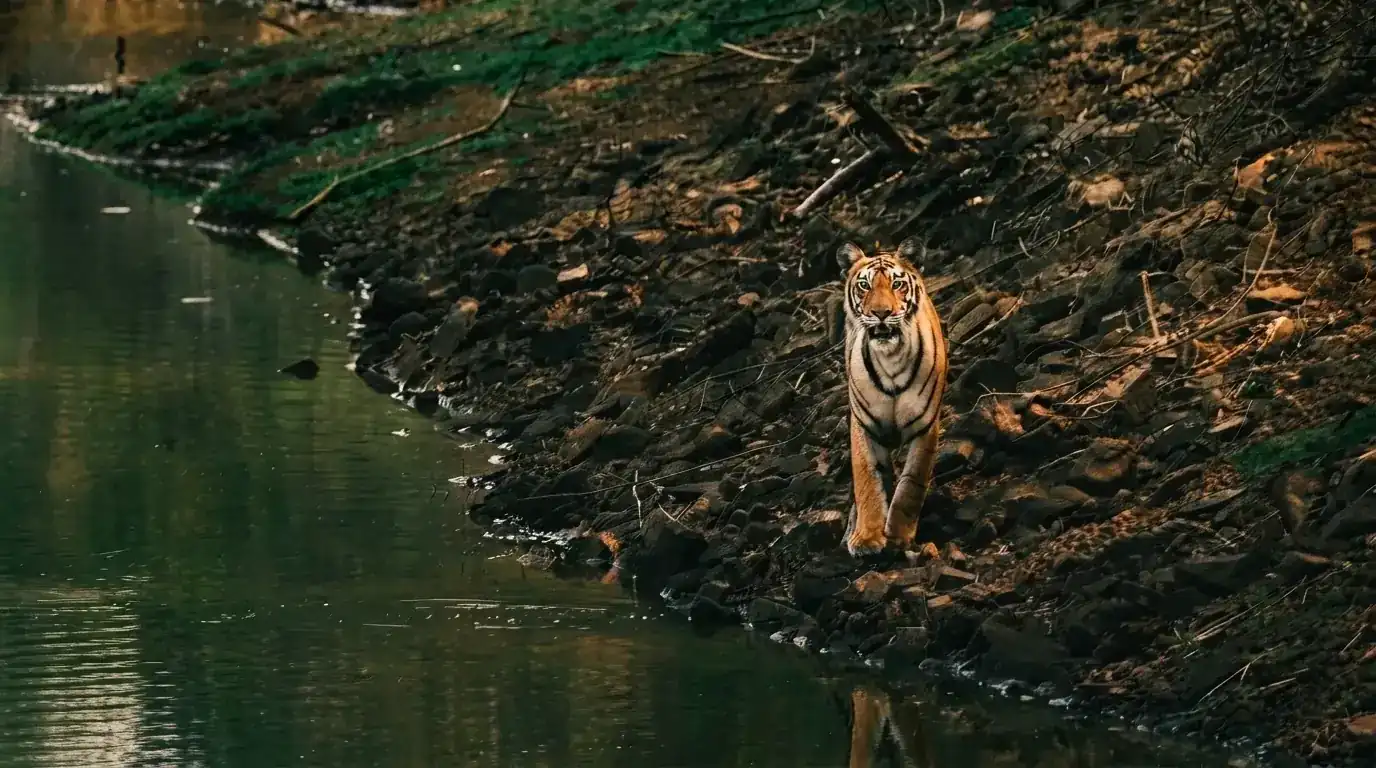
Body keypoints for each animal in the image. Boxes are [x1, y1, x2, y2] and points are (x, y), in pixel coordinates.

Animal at [837, 237, 948, 557]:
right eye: (864, 286)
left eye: (897, 284)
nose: (881, 313)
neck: (891, 359)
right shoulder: (863, 425)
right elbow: (867, 480)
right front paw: (867, 537)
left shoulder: (926, 426)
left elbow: (911, 483)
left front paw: (898, 535)